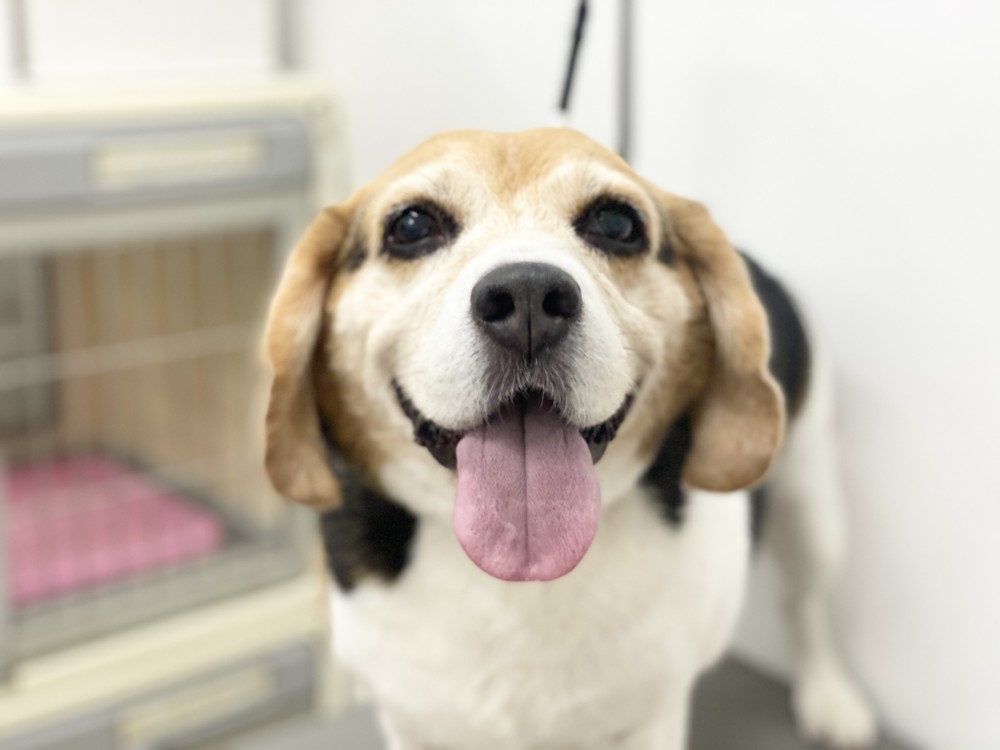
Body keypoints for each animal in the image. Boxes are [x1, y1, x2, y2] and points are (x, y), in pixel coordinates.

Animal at [262, 128, 876, 749]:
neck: (516, 577)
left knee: (806, 604)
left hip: (814, 504)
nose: (527, 297)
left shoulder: (652, 718)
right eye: (410, 226)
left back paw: (830, 696)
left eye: (617, 223)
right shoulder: (410, 724)